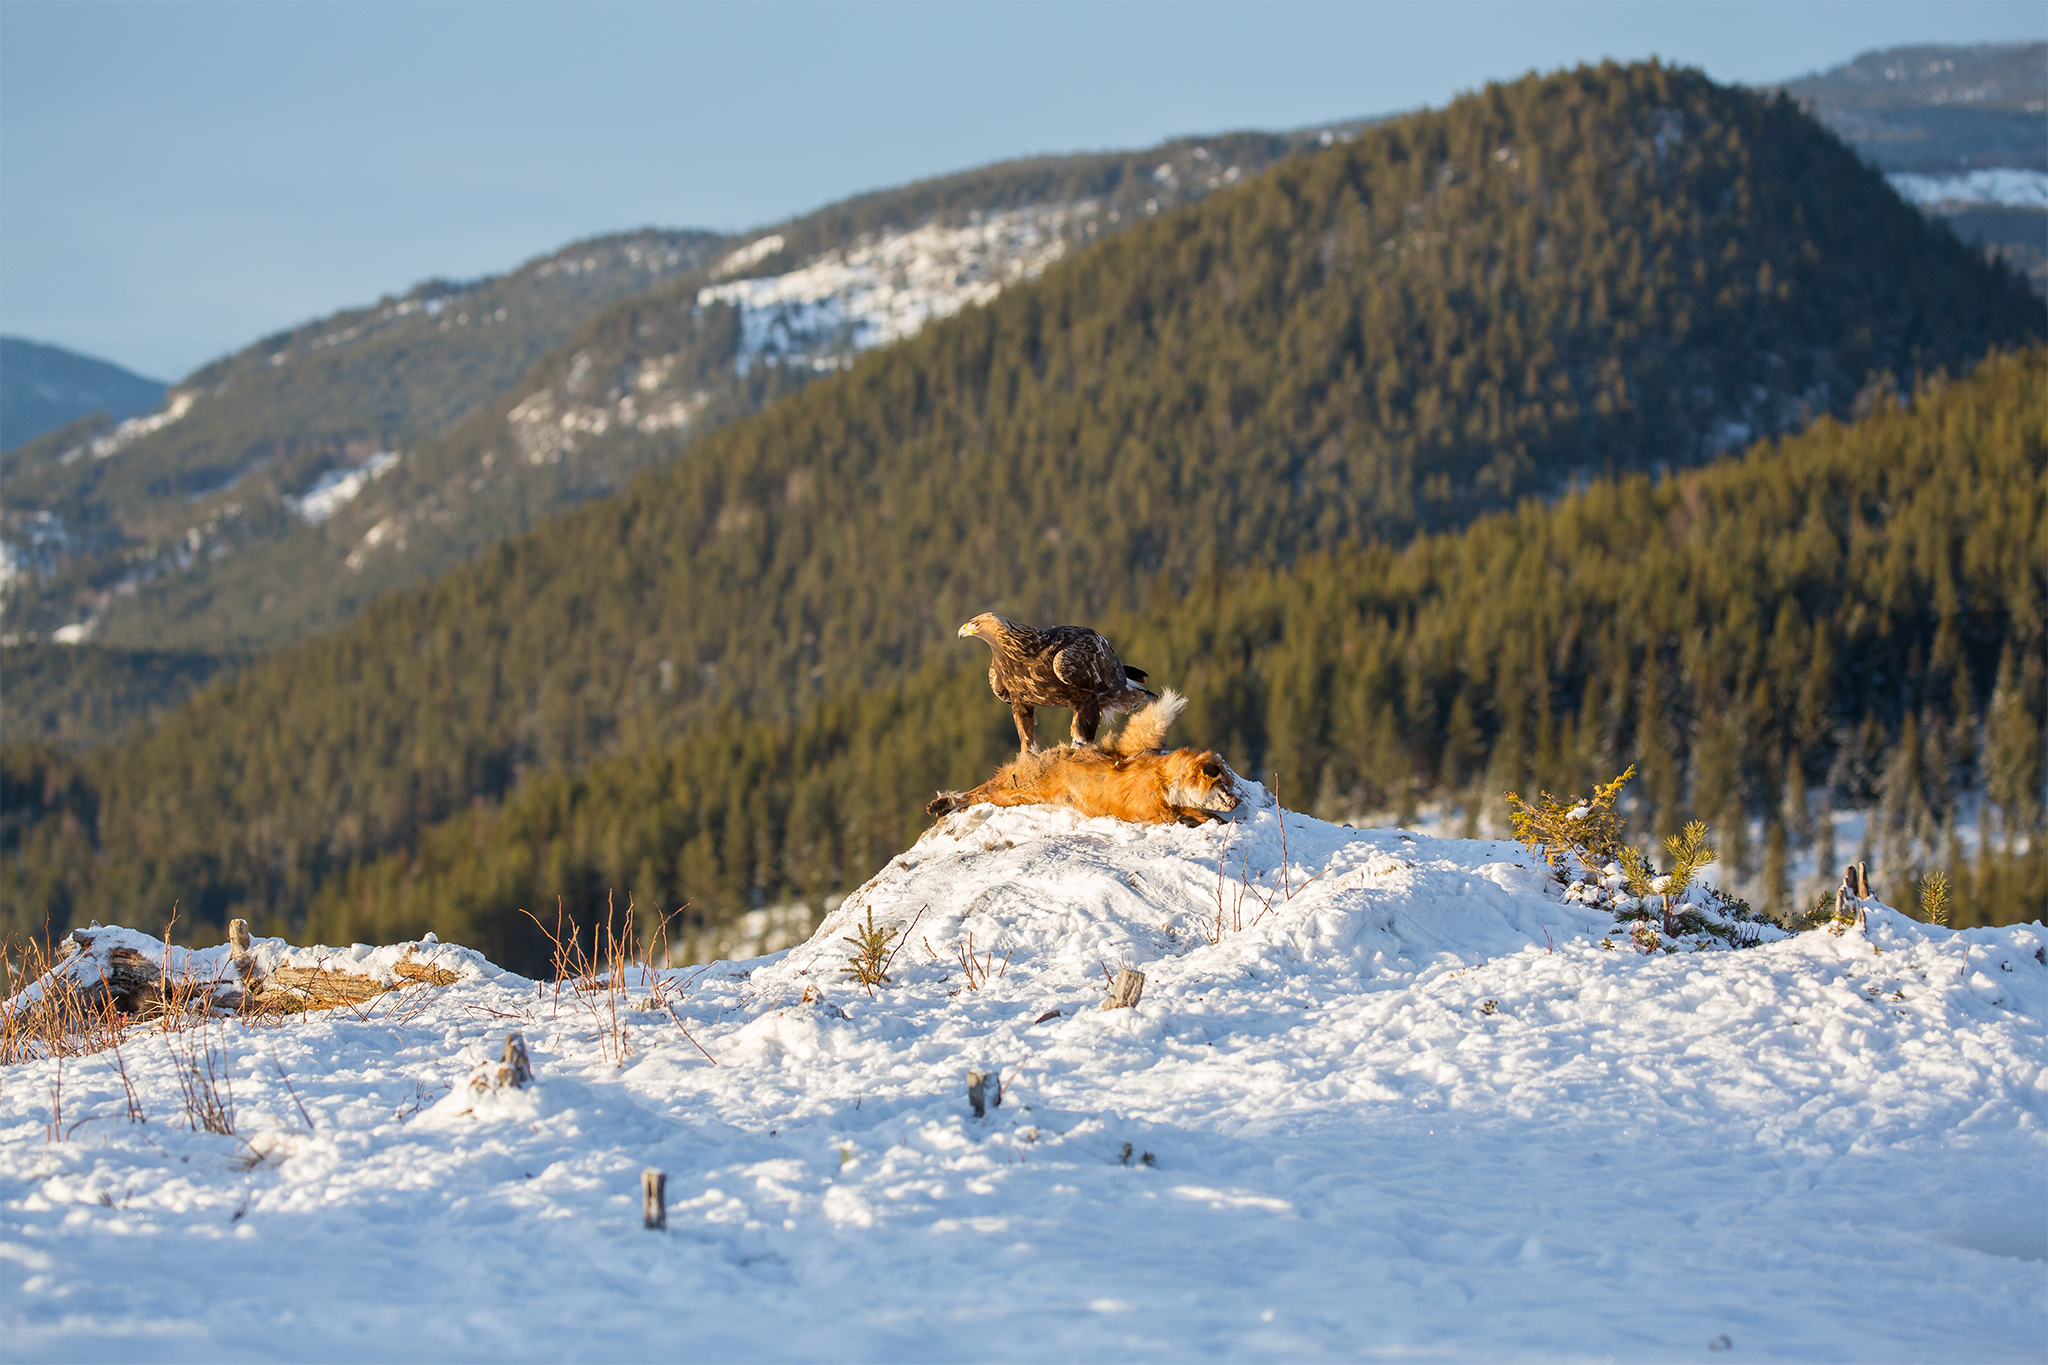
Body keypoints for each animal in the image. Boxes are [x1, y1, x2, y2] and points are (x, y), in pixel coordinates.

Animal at [933, 687, 1245, 826]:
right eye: (1224, 784)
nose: (1237, 801)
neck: (1165, 783)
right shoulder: (1147, 809)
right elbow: (1182, 815)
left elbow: (1199, 813)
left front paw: (1217, 820)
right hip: (1014, 789)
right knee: (977, 792)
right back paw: (942, 802)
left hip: (1016, 797)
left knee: (980, 793)